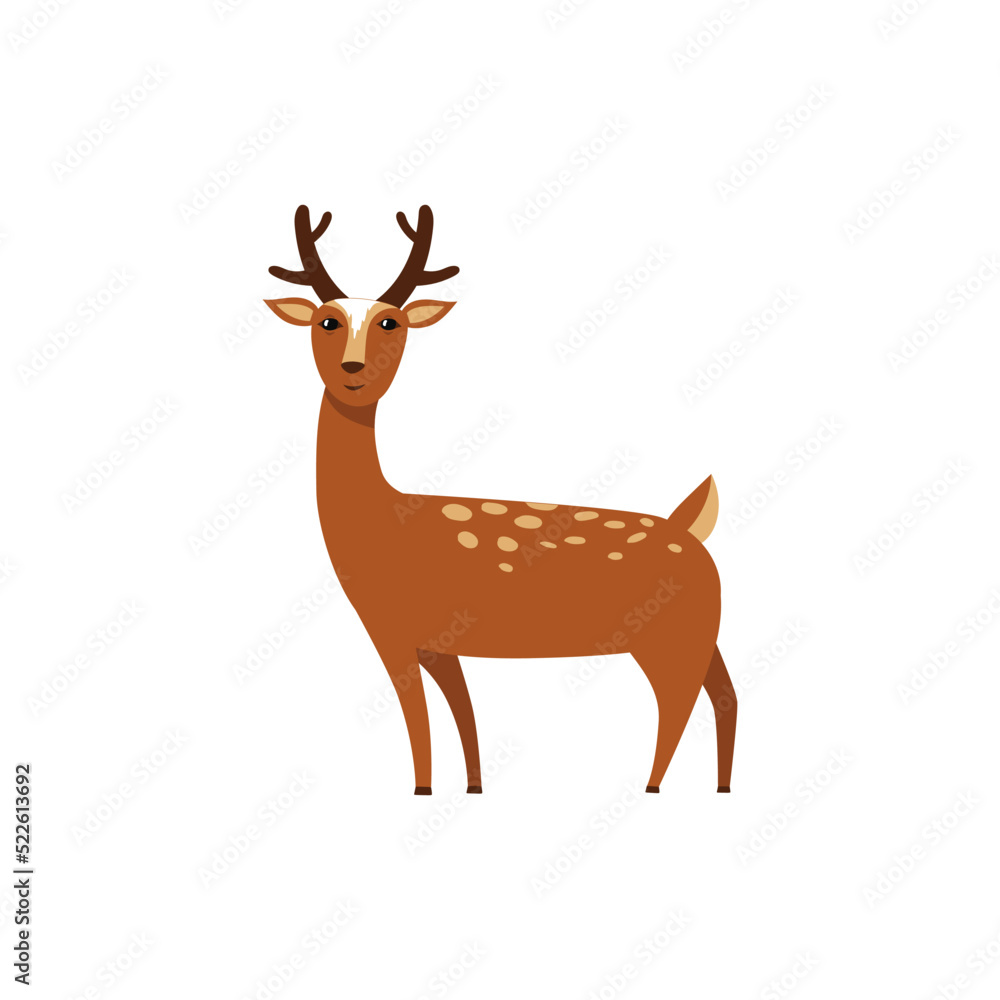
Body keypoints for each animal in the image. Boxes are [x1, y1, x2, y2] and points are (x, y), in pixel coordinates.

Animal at [265, 204, 737, 796]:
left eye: (391, 323)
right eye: (325, 322)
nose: (354, 370)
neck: (384, 523)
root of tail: (694, 527)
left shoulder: (391, 628)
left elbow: (418, 715)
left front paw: (421, 789)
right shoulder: (438, 641)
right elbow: (462, 710)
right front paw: (471, 786)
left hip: (668, 636)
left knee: (677, 701)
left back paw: (651, 787)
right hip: (703, 629)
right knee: (725, 692)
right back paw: (721, 786)